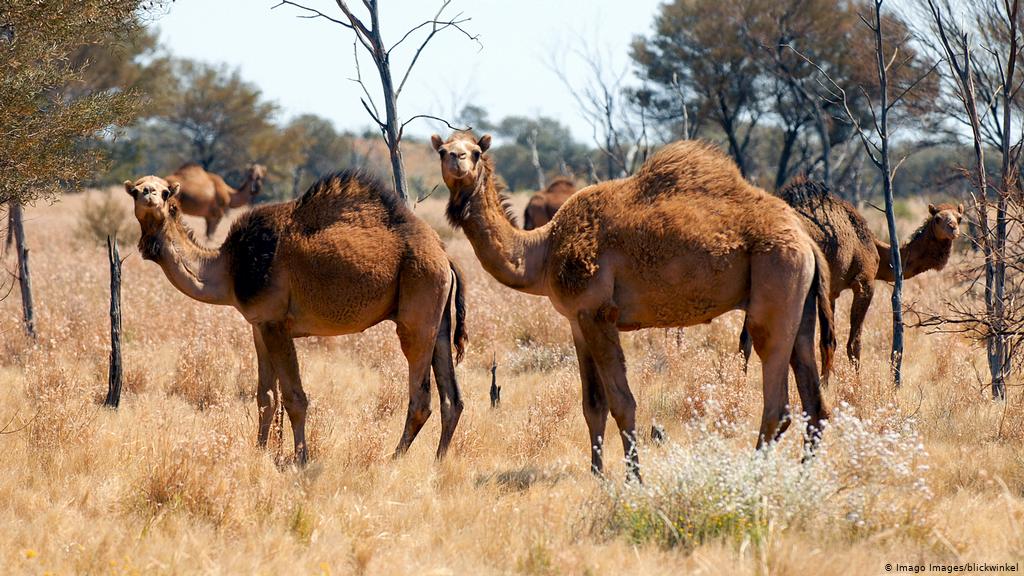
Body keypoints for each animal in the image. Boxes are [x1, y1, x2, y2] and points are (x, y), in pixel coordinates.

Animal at [122, 167, 468, 461]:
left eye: (166, 192)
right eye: (136, 190)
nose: (149, 195)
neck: (228, 269)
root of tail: (445, 256)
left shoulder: (276, 323)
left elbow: (294, 398)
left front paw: (300, 458)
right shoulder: (259, 325)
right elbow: (265, 396)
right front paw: (261, 452)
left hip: (417, 308)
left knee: (421, 398)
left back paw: (392, 459)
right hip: (438, 319)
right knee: (453, 398)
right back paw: (439, 461)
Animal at [430, 132, 831, 477]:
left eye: (475, 151)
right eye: (443, 149)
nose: (458, 161)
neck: (540, 252)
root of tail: (807, 242)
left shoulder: (598, 313)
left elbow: (622, 403)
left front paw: (633, 477)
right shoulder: (577, 320)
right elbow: (593, 404)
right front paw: (597, 474)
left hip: (775, 281)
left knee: (778, 400)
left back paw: (752, 476)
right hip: (799, 305)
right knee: (815, 401)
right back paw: (803, 477)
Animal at [737, 177, 958, 368]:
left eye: (959, 217)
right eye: (938, 219)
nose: (953, 228)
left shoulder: (830, 292)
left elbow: (828, 342)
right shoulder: (864, 282)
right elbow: (853, 343)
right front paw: (853, 386)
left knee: (746, 340)